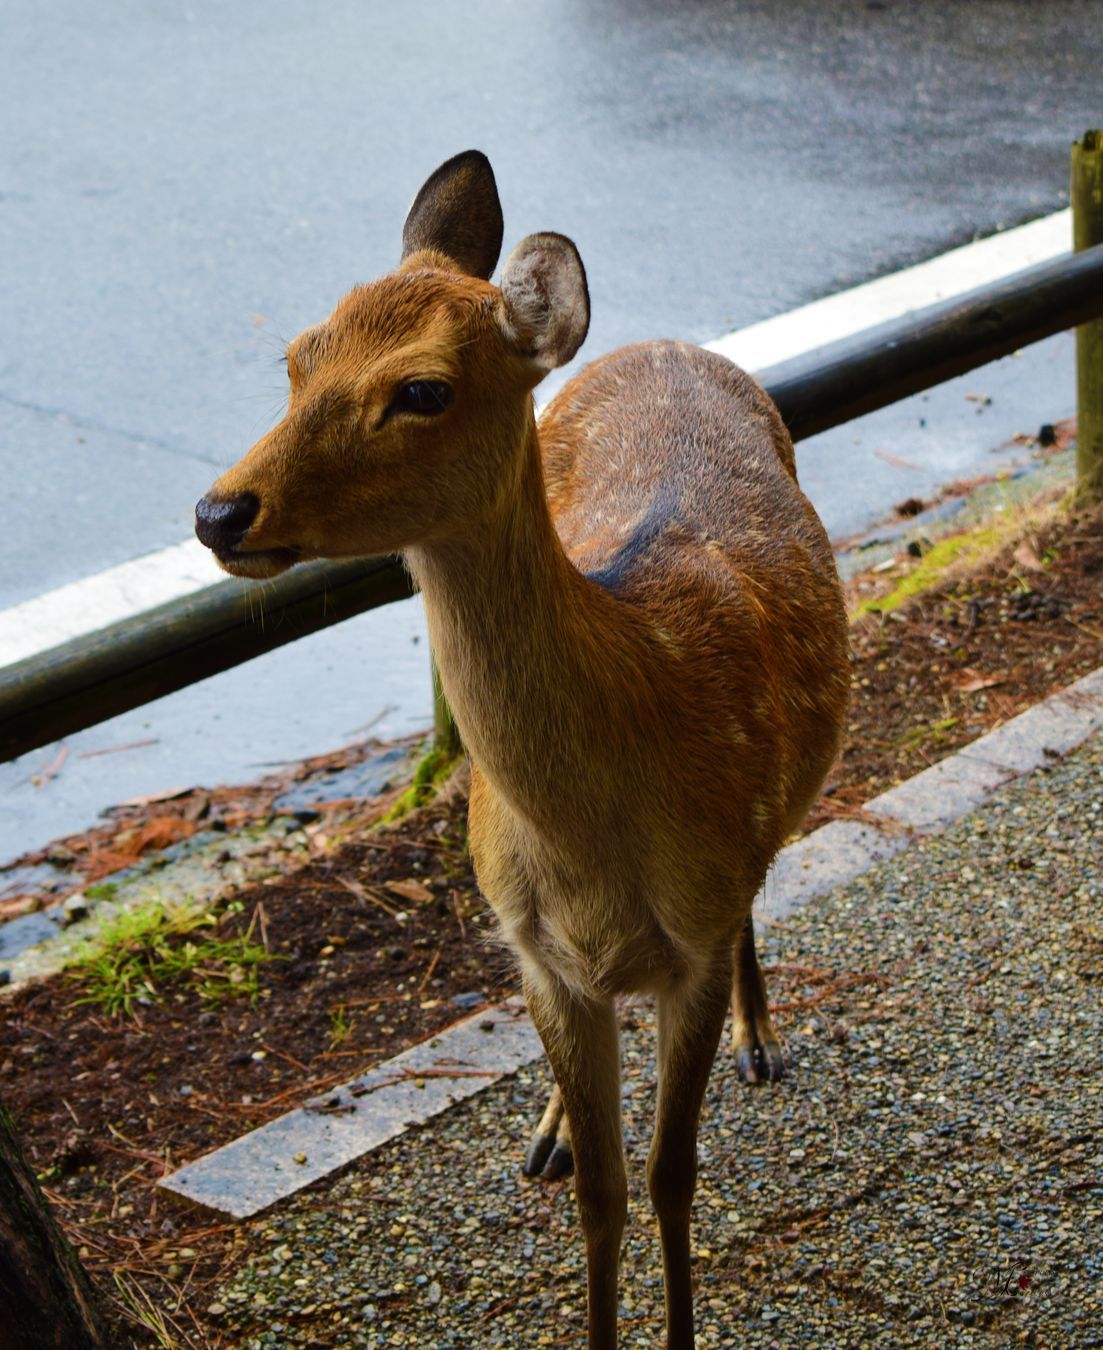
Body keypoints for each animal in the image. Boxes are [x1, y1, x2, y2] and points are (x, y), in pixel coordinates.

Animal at [193, 153, 847, 1344]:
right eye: (297, 357)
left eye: (422, 391)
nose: (222, 512)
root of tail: (664, 341)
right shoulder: (534, 952)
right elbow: (601, 1193)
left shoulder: (692, 932)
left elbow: (669, 1176)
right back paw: (546, 1130)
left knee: (761, 889)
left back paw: (763, 1038)